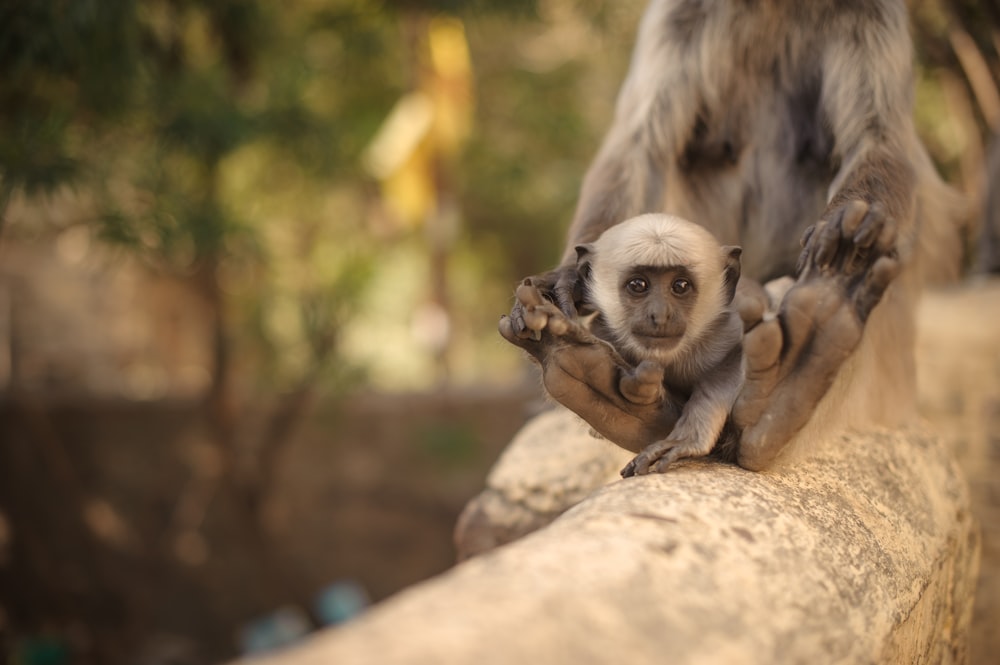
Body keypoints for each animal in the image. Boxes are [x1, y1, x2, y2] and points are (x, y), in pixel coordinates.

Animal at [572, 213, 744, 472]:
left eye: (680, 286)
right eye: (638, 285)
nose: (660, 315)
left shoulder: (723, 334)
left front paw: (687, 439)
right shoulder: (602, 333)